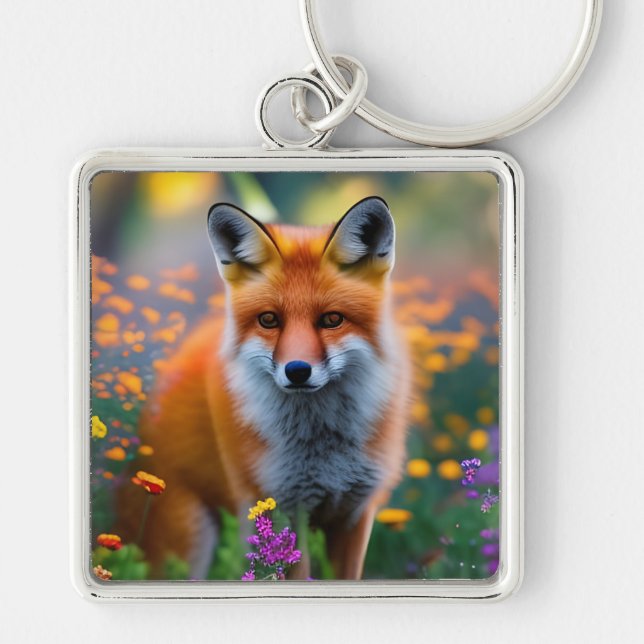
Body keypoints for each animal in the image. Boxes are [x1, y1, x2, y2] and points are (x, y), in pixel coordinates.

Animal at [116, 196, 412, 580]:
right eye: (269, 320)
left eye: (332, 319)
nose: (297, 371)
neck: (322, 447)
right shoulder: (283, 508)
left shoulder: (354, 513)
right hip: (187, 544)